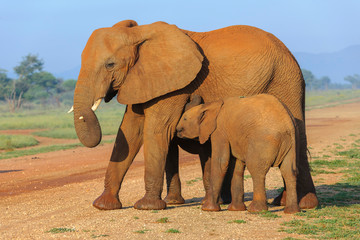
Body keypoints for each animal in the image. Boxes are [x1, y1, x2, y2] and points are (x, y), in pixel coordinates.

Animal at [72, 19, 318, 210]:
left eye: (110, 64)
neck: (139, 33)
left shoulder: (176, 84)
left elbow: (156, 130)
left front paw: (146, 207)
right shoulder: (141, 80)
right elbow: (130, 131)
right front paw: (103, 205)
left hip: (285, 80)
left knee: (299, 133)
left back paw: (303, 204)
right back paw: (281, 202)